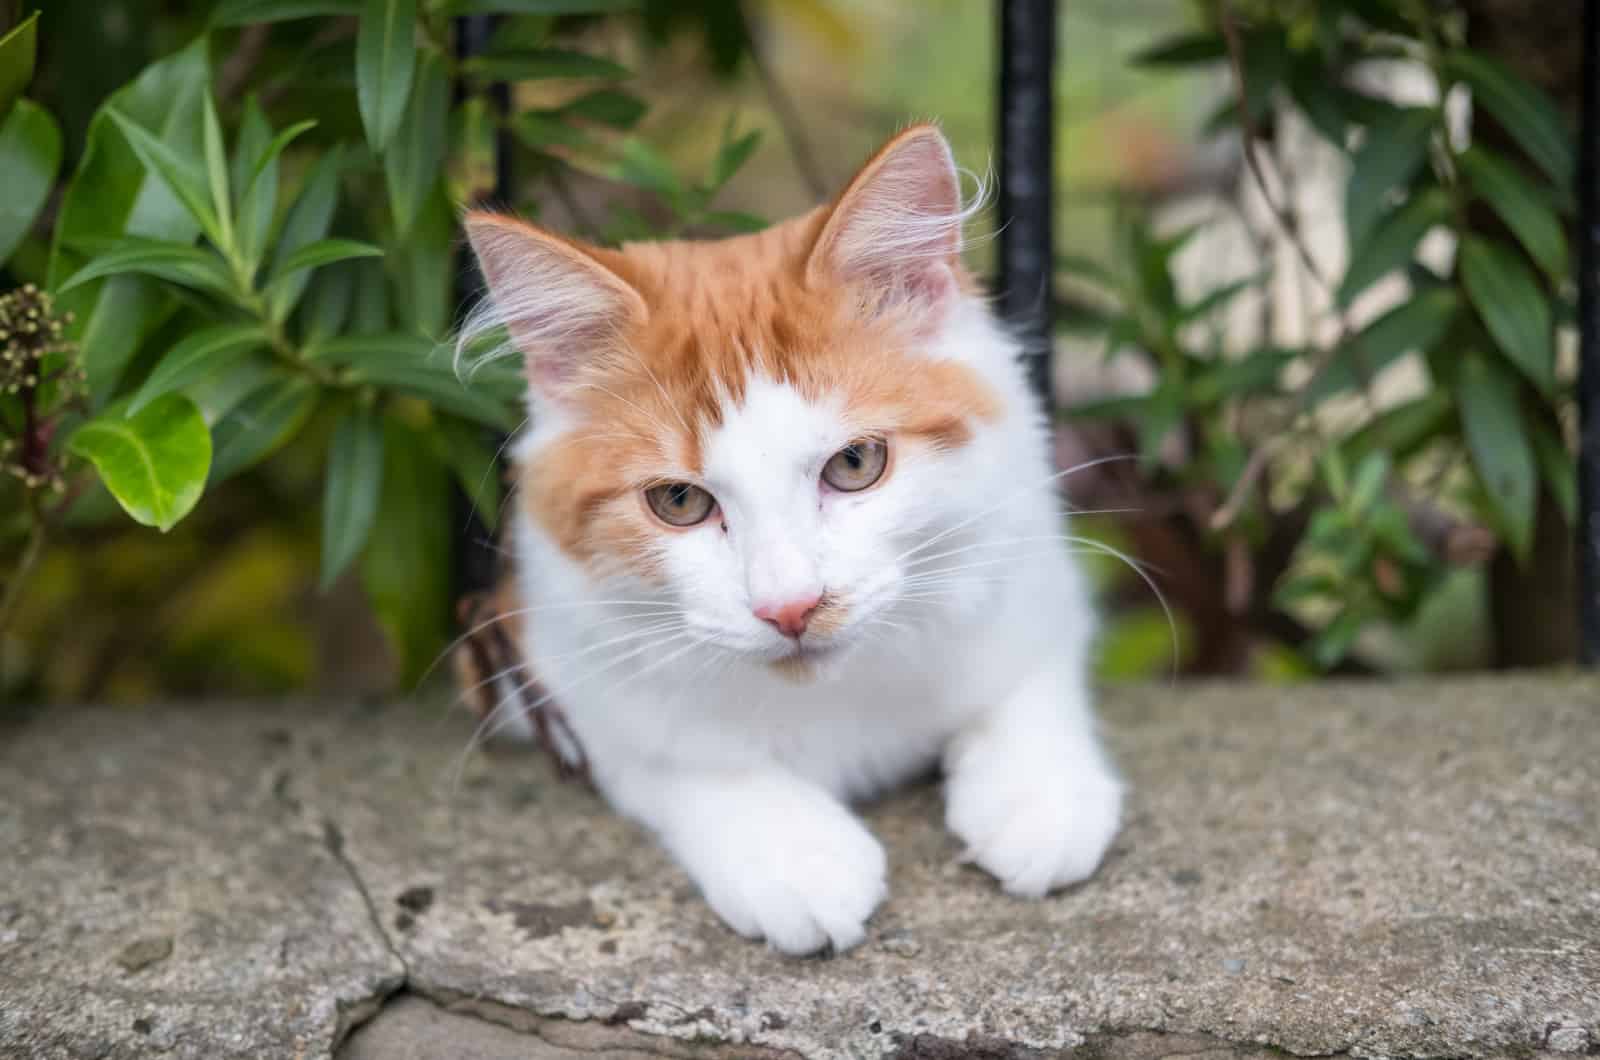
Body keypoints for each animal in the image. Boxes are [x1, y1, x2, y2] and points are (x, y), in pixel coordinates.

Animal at [457, 126, 1120, 960]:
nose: (792, 609)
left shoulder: (1032, 573)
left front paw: (1038, 798)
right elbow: (683, 753)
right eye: (680, 502)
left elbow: (1027, 683)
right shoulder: (550, 660)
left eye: (856, 464)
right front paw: (793, 852)